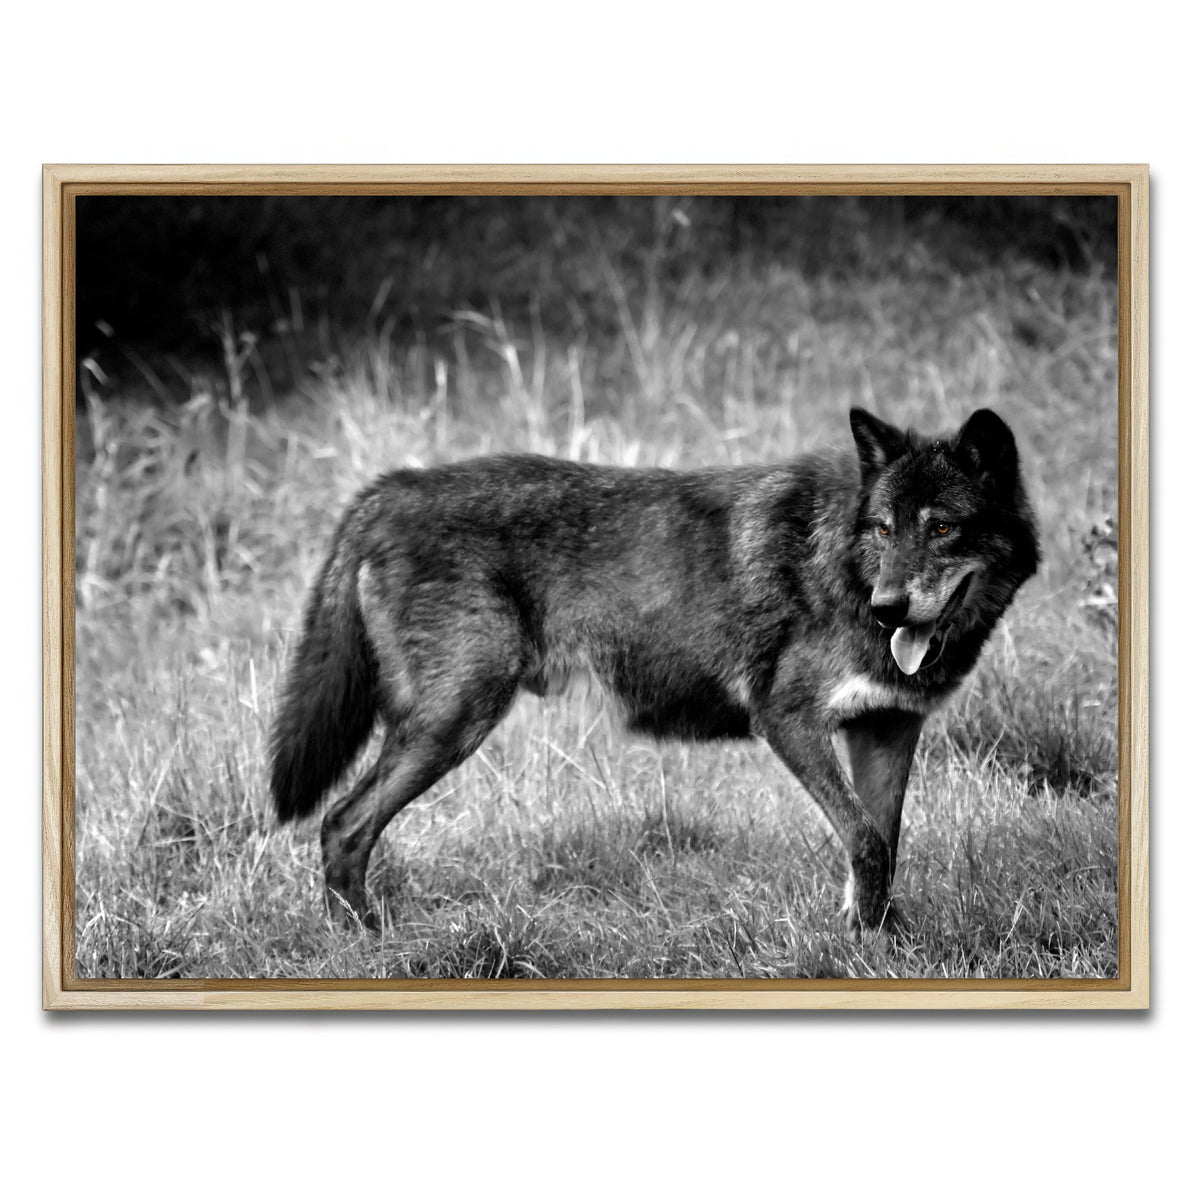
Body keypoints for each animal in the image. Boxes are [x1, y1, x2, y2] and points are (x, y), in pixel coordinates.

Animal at [270, 408, 1039, 934]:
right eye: (883, 528)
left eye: (942, 528)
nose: (888, 609)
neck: (843, 569)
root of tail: (389, 489)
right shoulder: (787, 720)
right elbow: (865, 840)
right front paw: (864, 945)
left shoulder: (885, 728)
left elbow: (882, 842)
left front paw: (878, 942)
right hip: (453, 722)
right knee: (342, 823)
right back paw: (365, 941)